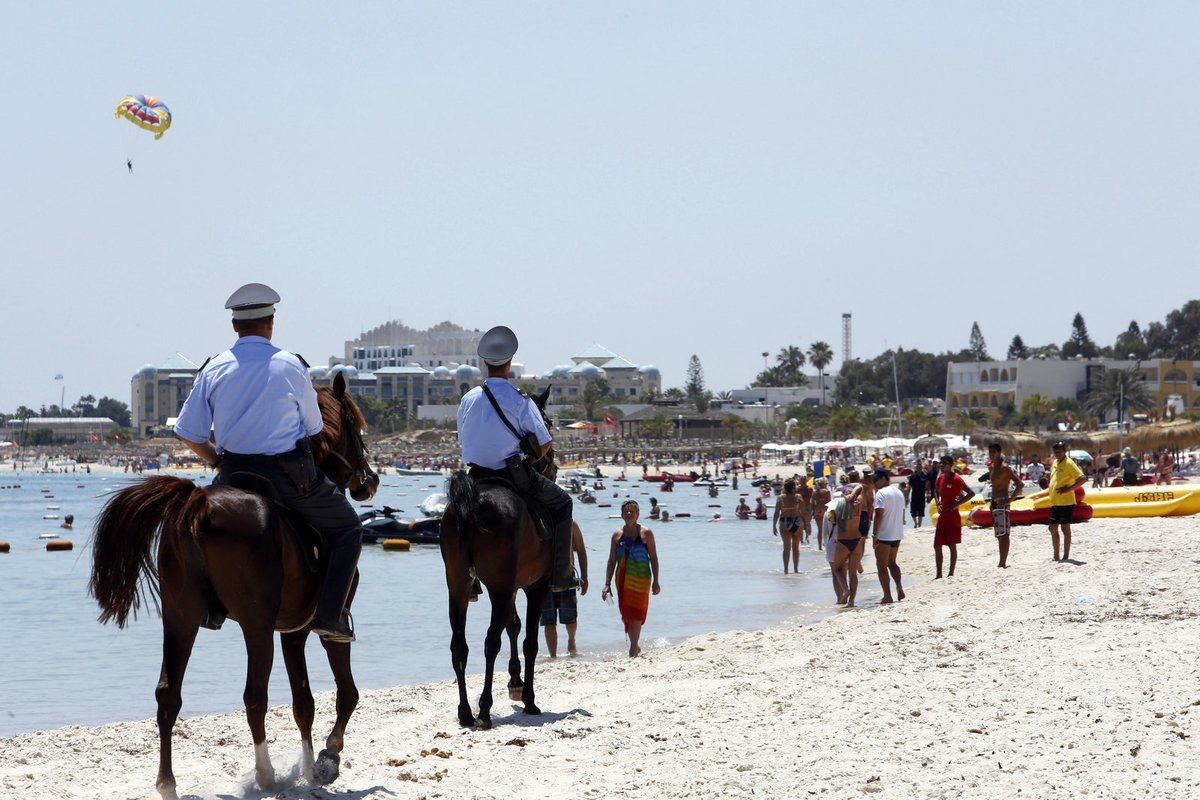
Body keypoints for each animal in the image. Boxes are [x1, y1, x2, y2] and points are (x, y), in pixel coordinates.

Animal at [87, 376, 376, 800]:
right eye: (356, 427)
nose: (369, 481)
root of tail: (200, 504)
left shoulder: (292, 633)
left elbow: (303, 703)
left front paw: (309, 767)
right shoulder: (324, 628)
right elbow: (345, 694)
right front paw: (327, 759)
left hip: (181, 617)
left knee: (168, 695)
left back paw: (167, 783)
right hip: (256, 626)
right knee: (254, 696)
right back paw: (265, 775)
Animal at [439, 388, 559, 734]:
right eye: (547, 423)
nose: (554, 466)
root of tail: (472, 499)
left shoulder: (512, 586)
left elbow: (513, 625)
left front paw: (515, 682)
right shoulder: (534, 587)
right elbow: (530, 640)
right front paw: (528, 697)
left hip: (459, 586)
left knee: (459, 645)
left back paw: (466, 711)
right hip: (499, 587)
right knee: (490, 642)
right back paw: (484, 710)